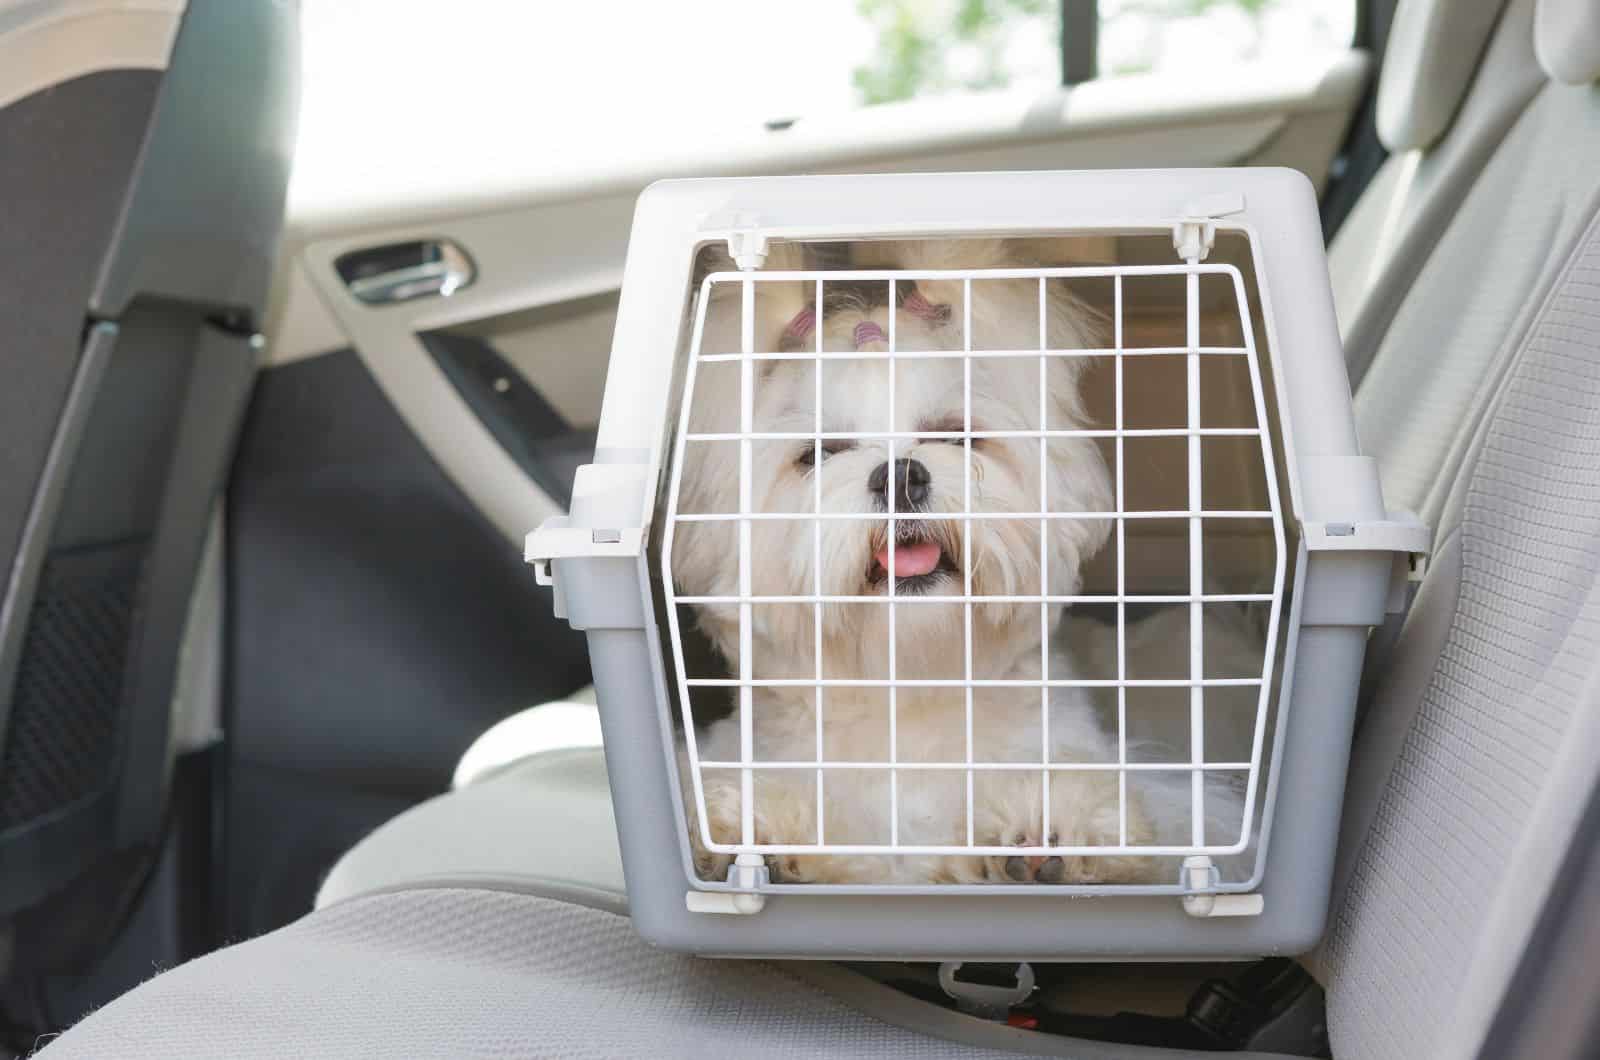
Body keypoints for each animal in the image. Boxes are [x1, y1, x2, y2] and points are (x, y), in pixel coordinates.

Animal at [668, 240, 1241, 890]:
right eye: (816, 454)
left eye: (955, 436)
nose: (900, 475)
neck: (912, 688)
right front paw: (758, 827)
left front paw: (1052, 823)